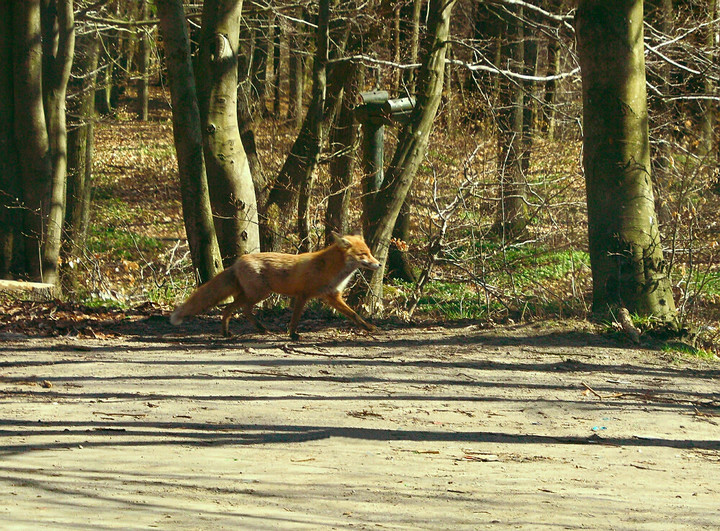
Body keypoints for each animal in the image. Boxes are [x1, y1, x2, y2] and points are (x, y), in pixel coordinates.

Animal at [169, 233, 382, 340]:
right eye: (363, 254)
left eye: (370, 253)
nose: (379, 264)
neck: (331, 269)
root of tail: (237, 262)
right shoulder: (303, 295)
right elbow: (295, 318)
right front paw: (293, 334)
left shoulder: (332, 296)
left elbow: (354, 315)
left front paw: (368, 327)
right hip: (258, 293)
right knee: (232, 309)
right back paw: (232, 332)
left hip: (254, 295)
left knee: (239, 310)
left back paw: (251, 329)